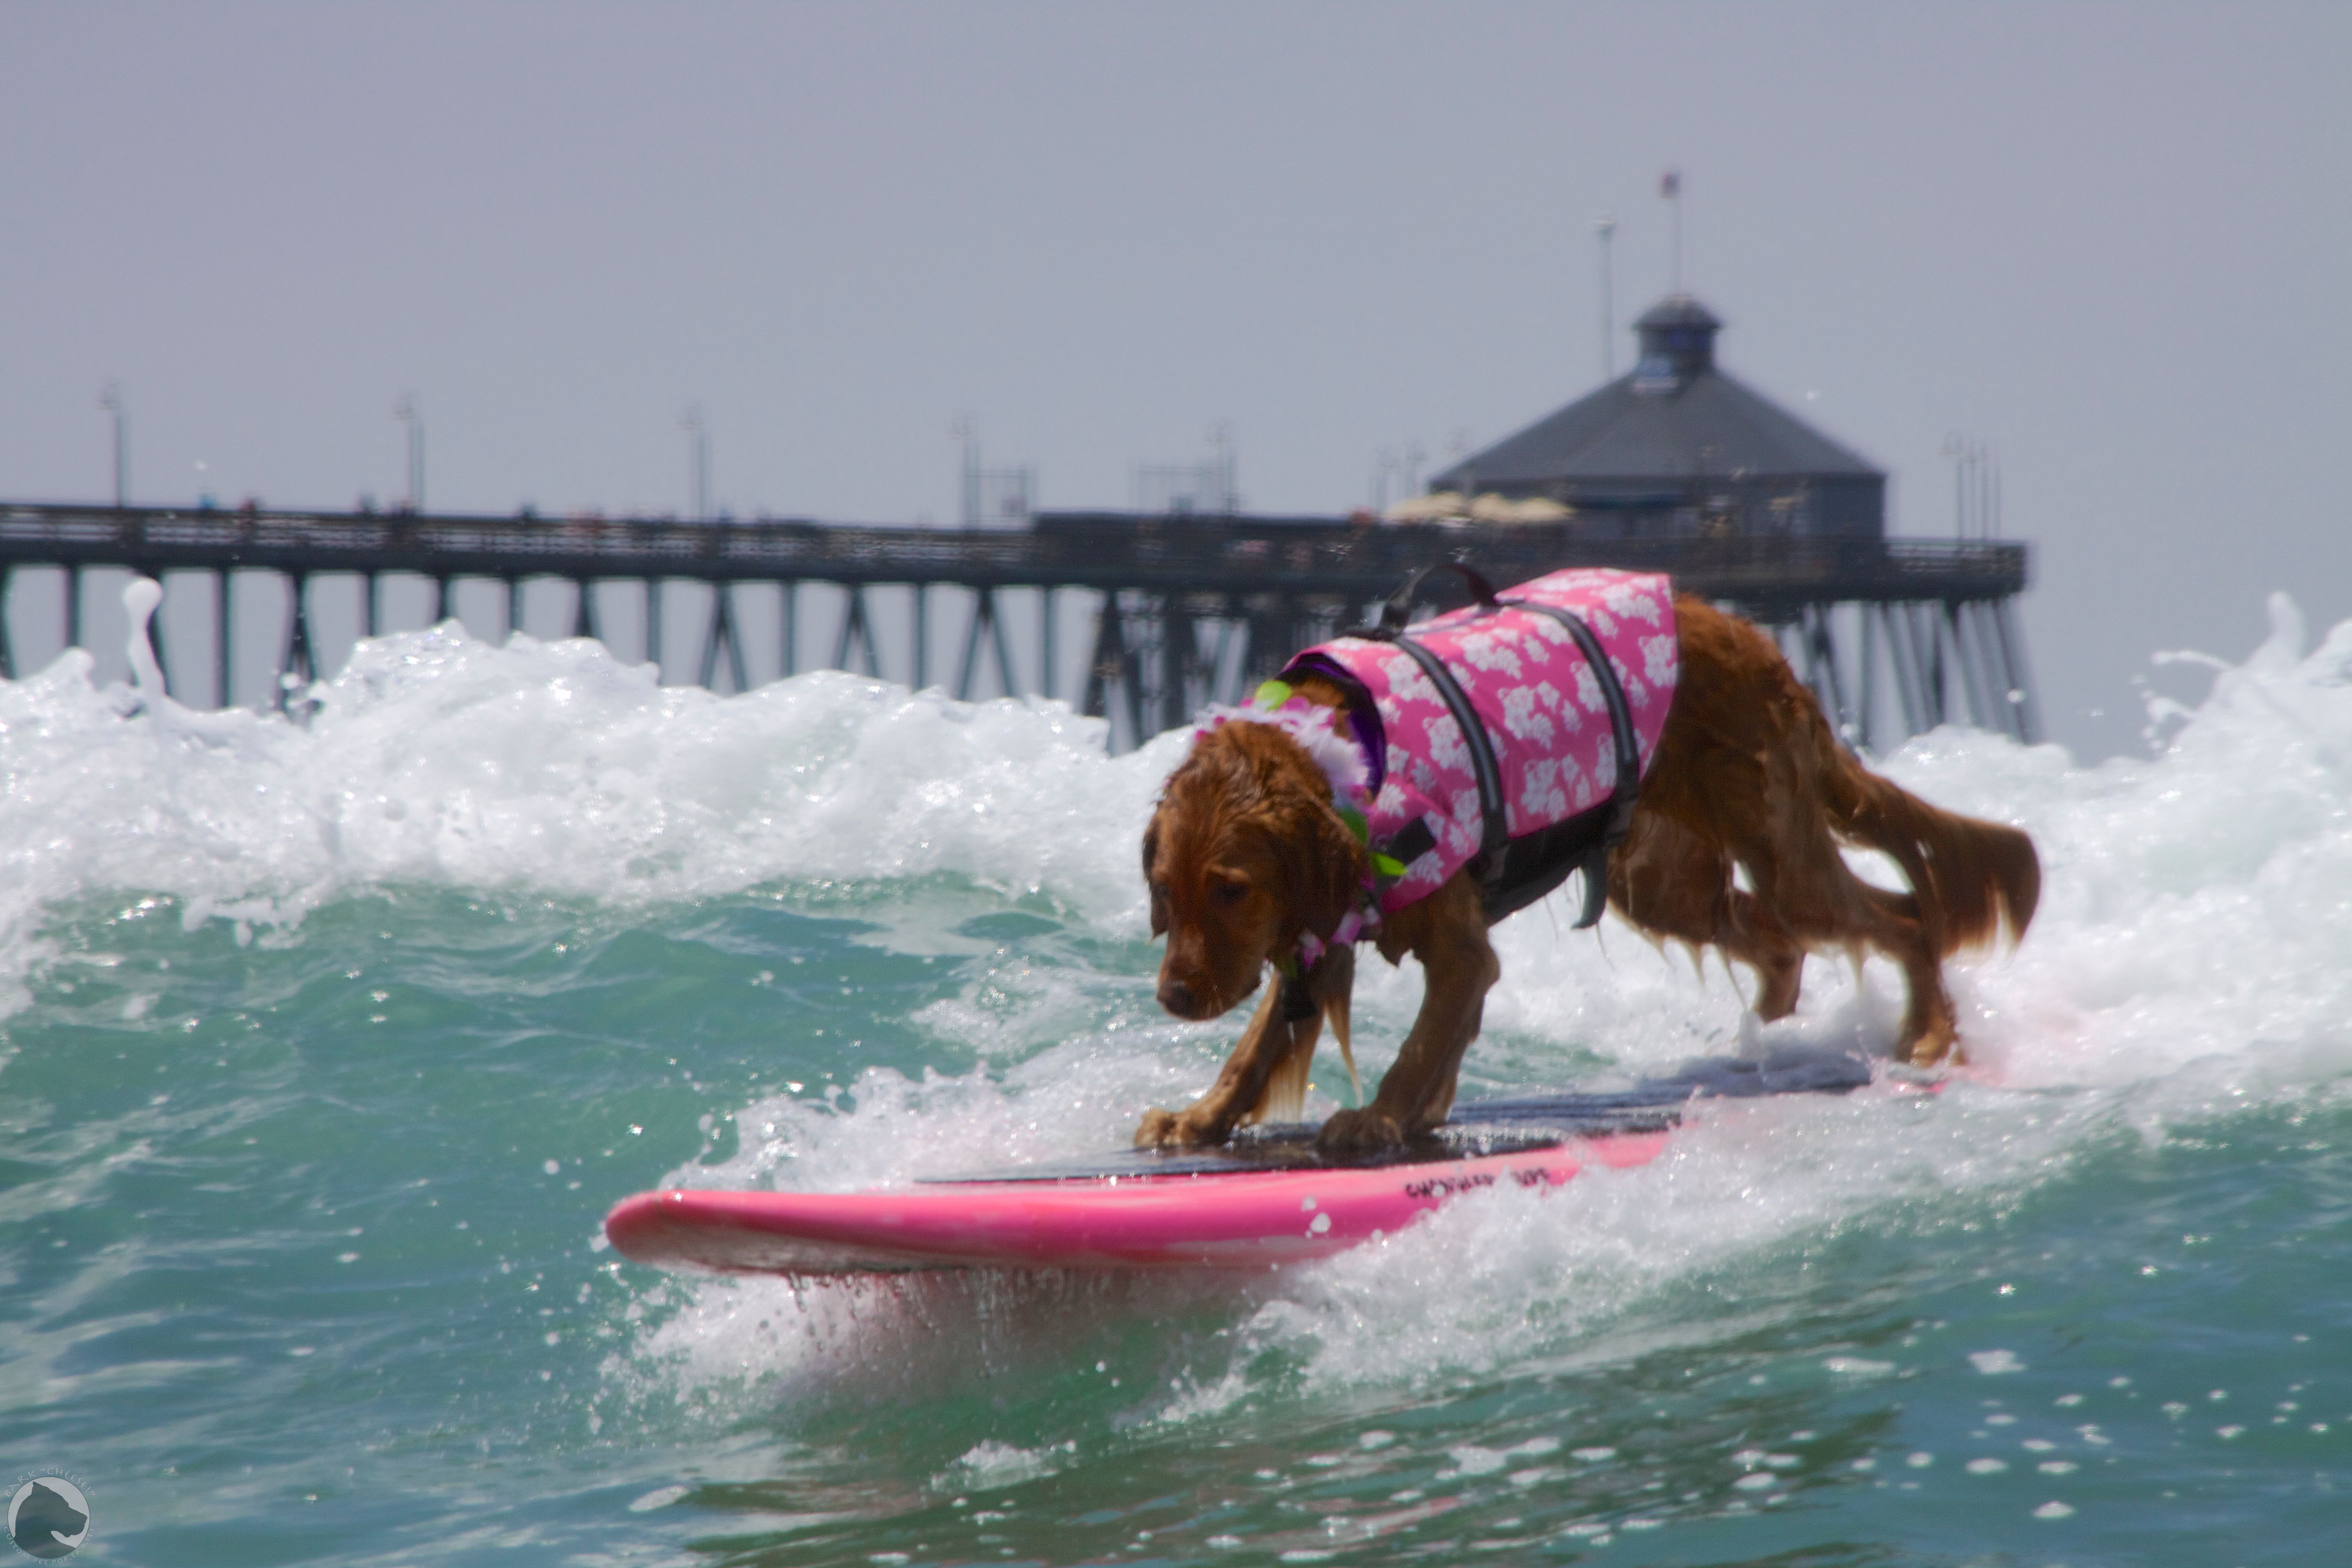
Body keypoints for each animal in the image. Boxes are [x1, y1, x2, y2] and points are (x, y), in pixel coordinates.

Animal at [1135, 568, 2039, 1154]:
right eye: (1165, 891)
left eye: (1231, 889)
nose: (1173, 996)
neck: (1345, 757)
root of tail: (1752, 637)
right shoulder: (1316, 931)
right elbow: (1257, 1046)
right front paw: (1199, 1118)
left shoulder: (1459, 949)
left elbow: (1422, 1041)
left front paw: (1379, 1118)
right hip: (1663, 880)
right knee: (1777, 941)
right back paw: (1767, 1037)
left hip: (1783, 857)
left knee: (1902, 915)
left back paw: (1928, 1035)